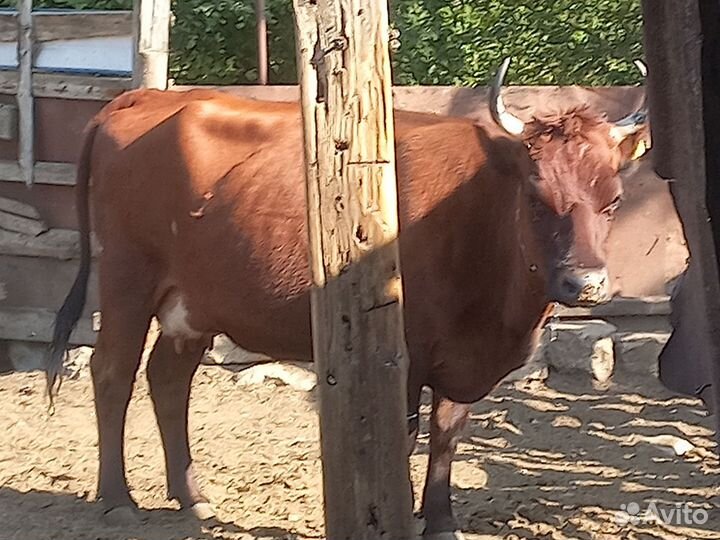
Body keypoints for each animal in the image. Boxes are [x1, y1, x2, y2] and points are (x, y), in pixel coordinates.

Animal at [46, 59, 648, 538]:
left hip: (193, 303)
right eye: (536, 197)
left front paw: (442, 520)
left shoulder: (461, 357)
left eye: (614, 200)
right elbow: (402, 435)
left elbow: (448, 435)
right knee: (112, 371)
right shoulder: (402, 351)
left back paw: (191, 495)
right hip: (128, 275)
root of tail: (147, 98)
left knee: (168, 380)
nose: (585, 284)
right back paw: (117, 499)